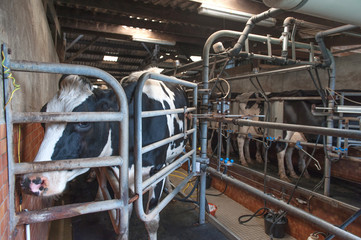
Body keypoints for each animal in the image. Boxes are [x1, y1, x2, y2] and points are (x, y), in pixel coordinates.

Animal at [20, 67, 188, 238]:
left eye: (83, 122)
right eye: (43, 119)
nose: (32, 181)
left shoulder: (157, 169)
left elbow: (151, 221)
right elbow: (124, 213)